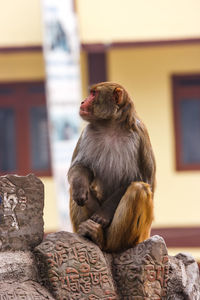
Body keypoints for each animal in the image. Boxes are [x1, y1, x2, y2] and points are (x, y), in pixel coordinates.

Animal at [69, 81, 156, 252]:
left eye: (93, 94)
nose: (82, 102)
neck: (111, 126)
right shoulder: (87, 132)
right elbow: (78, 168)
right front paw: (80, 185)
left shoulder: (140, 135)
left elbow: (143, 180)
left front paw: (103, 214)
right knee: (74, 187)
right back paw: (88, 234)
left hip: (137, 237)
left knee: (139, 189)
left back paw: (103, 241)